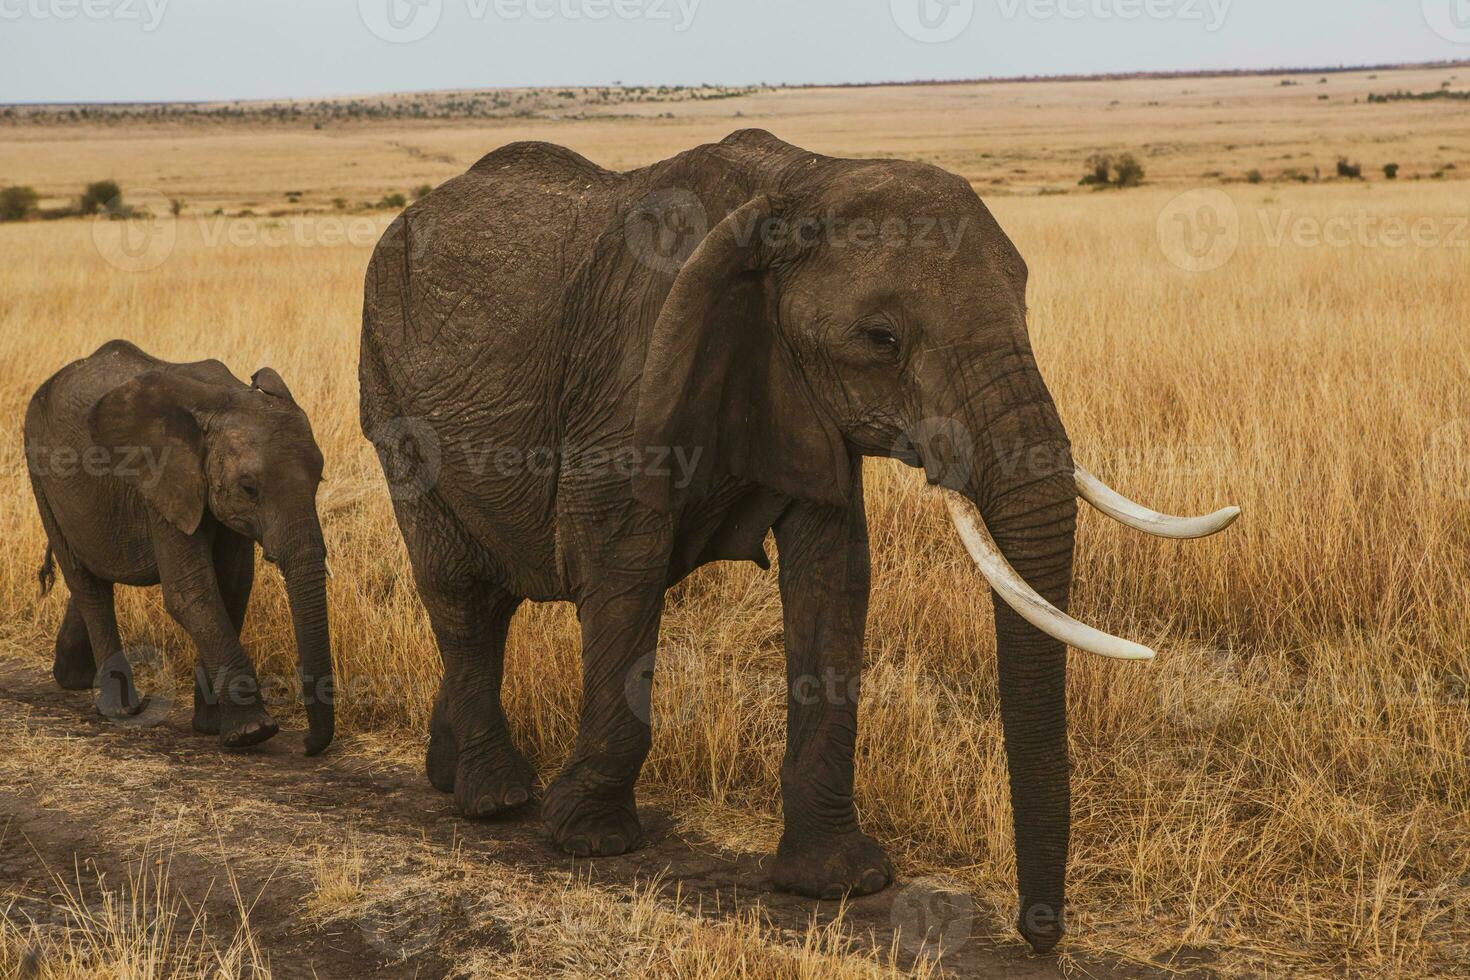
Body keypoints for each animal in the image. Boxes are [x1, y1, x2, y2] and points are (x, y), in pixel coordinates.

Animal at [25, 340, 336, 758]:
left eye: (319, 478)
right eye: (249, 488)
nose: (305, 745)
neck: (224, 402)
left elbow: (233, 586)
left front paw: (212, 726)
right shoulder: (163, 482)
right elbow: (192, 593)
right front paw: (252, 731)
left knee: (93, 569)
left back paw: (71, 677)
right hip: (41, 474)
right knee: (87, 584)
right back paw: (120, 708)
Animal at [361, 128, 1234, 952]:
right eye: (881, 338)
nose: (1039, 935)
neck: (805, 179)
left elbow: (834, 578)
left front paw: (839, 883)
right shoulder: (625, 392)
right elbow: (619, 567)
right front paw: (593, 842)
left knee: (485, 602)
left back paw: (445, 775)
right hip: (391, 400)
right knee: (459, 593)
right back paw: (495, 800)